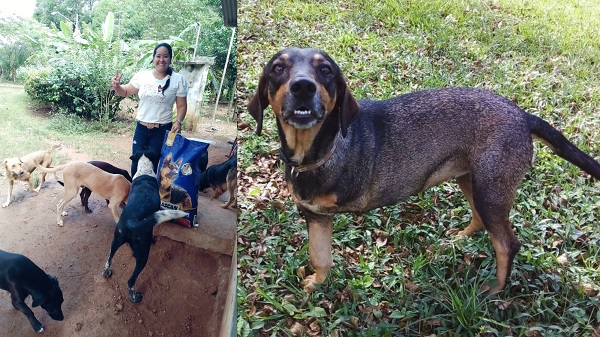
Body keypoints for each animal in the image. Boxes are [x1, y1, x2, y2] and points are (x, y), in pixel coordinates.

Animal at [103, 147, 188, 302]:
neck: (144, 171)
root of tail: (131, 221)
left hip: (116, 240)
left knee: (109, 258)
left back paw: (107, 271)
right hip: (143, 254)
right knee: (131, 280)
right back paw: (134, 296)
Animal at [248, 46, 600, 292]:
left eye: (325, 70)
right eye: (278, 68)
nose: (303, 87)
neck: (317, 150)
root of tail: (523, 115)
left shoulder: (326, 209)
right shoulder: (316, 216)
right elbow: (319, 256)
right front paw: (317, 283)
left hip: (491, 190)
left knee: (506, 244)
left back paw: (495, 289)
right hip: (471, 180)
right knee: (478, 219)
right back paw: (458, 240)